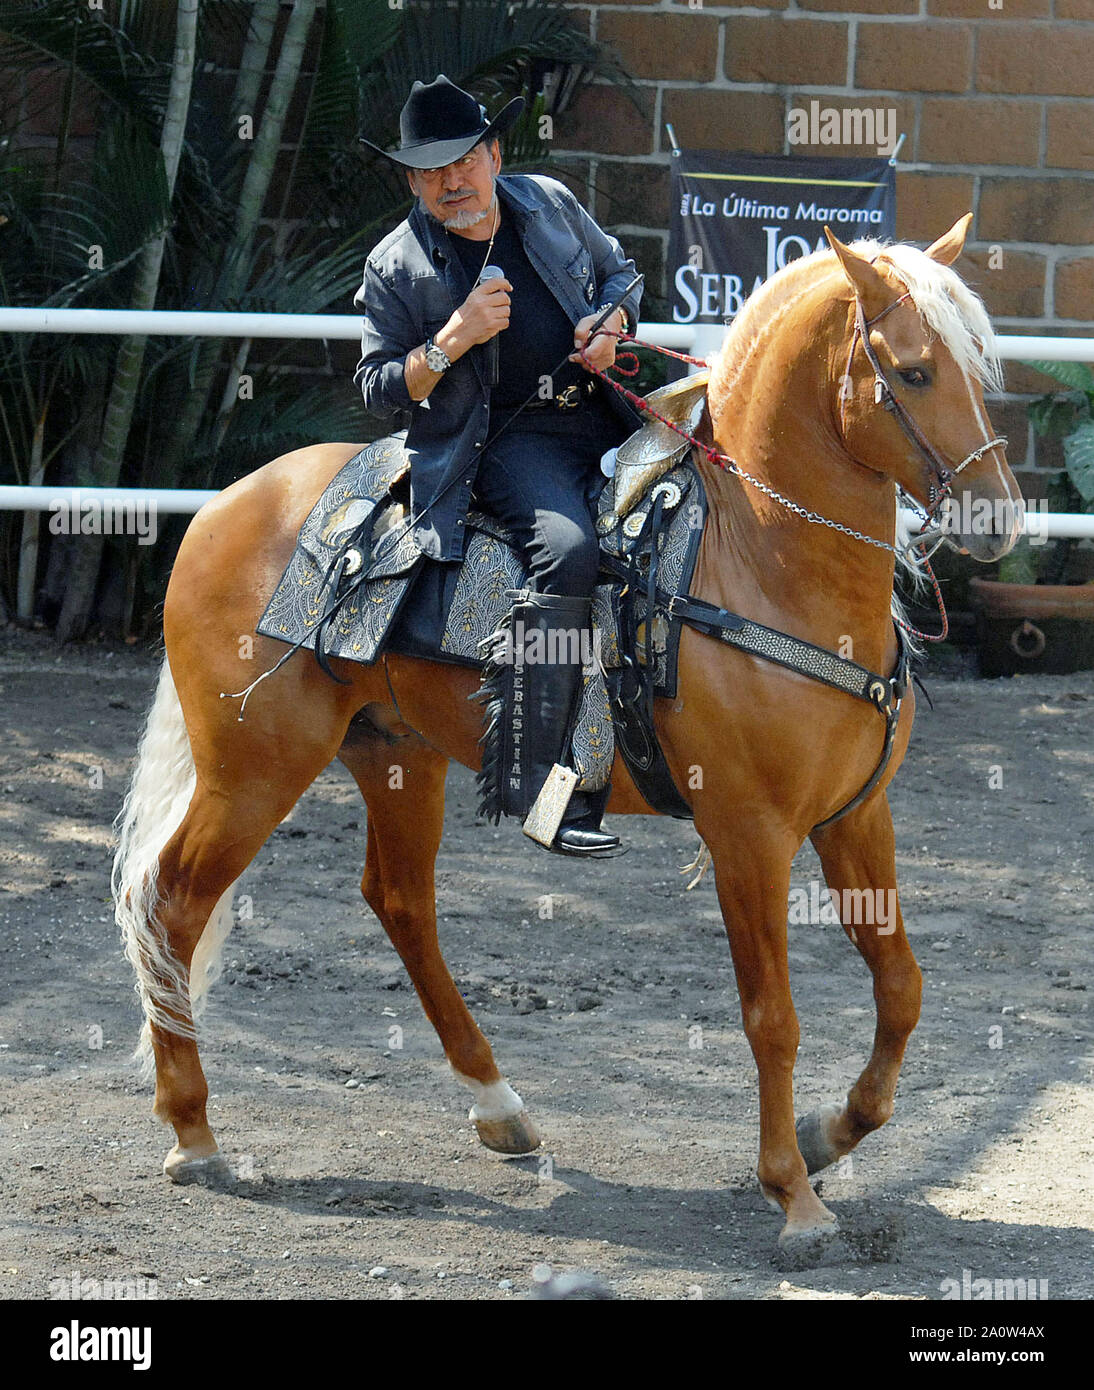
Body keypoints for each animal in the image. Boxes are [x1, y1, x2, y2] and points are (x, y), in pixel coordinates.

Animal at [115, 214, 1023, 1262]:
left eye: (980, 368)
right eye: (912, 372)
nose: (998, 516)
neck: (761, 557)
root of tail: (226, 504)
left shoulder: (855, 817)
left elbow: (902, 987)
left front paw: (830, 1133)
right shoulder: (748, 836)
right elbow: (772, 1017)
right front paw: (794, 1196)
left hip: (395, 755)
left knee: (399, 902)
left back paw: (499, 1107)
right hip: (253, 768)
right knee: (171, 904)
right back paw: (194, 1133)